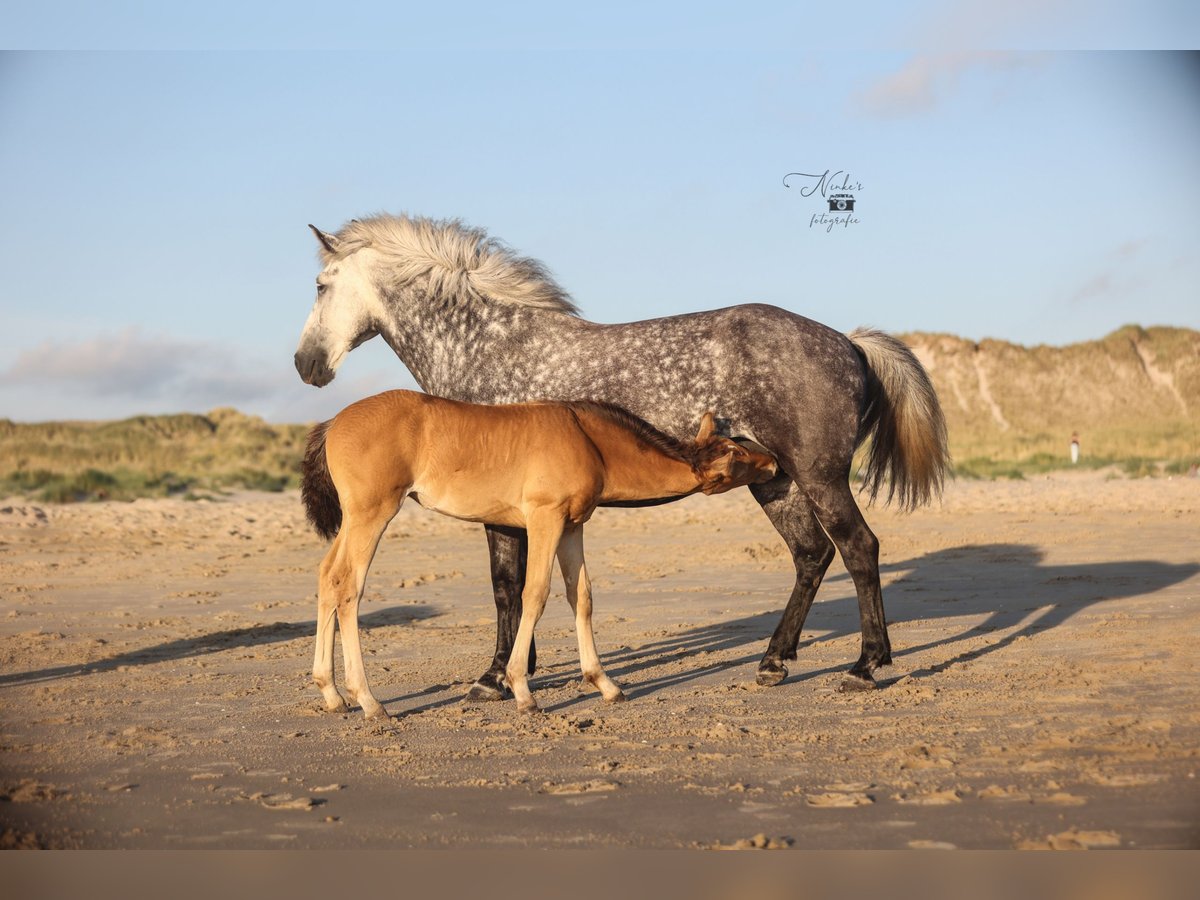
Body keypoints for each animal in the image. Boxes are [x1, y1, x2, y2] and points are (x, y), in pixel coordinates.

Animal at [300, 389, 778, 717]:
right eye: (736, 451)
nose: (774, 459)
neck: (588, 440)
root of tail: (334, 422)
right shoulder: (544, 520)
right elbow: (535, 593)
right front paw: (522, 691)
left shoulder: (572, 527)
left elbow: (581, 597)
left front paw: (604, 683)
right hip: (373, 514)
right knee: (349, 586)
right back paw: (368, 700)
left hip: (355, 520)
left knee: (327, 577)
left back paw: (331, 692)